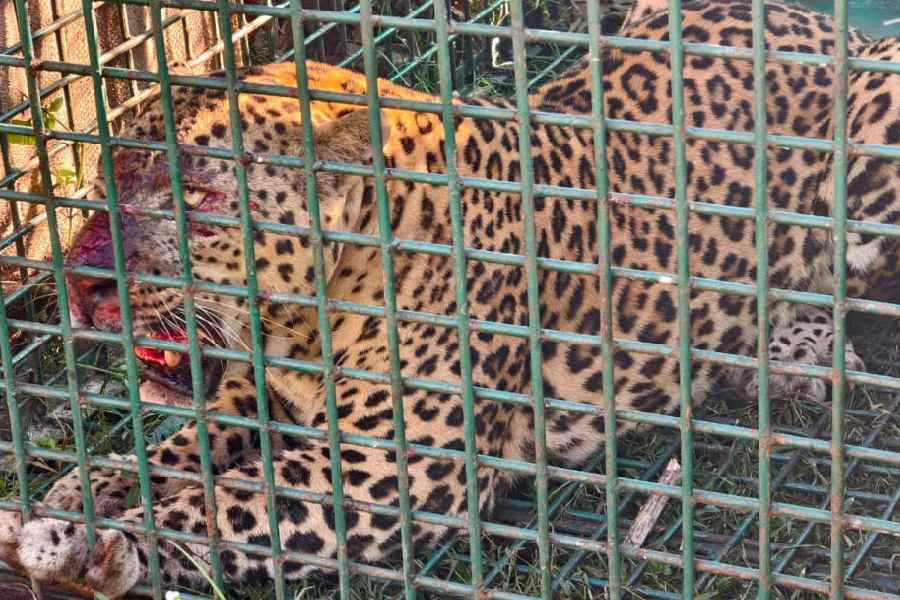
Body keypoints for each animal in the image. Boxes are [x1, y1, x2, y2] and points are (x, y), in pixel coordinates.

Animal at [3, 0, 899, 596]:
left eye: (202, 194)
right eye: (103, 169)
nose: (79, 282)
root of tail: (833, 26)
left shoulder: (385, 473)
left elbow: (217, 504)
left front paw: (83, 541)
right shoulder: (262, 395)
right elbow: (177, 449)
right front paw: (80, 493)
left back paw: (797, 347)